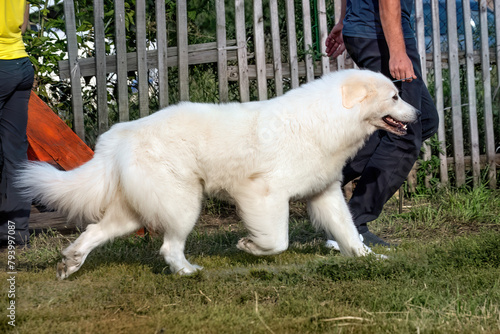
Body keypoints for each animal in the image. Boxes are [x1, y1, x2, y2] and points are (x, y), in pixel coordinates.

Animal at [16, 69, 418, 278]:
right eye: (395, 97)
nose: (417, 115)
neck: (327, 118)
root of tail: (120, 135)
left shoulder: (326, 194)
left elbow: (349, 233)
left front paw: (368, 258)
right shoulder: (264, 194)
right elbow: (278, 241)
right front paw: (250, 247)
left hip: (133, 213)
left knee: (93, 232)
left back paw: (70, 263)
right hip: (183, 204)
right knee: (168, 247)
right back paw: (188, 272)